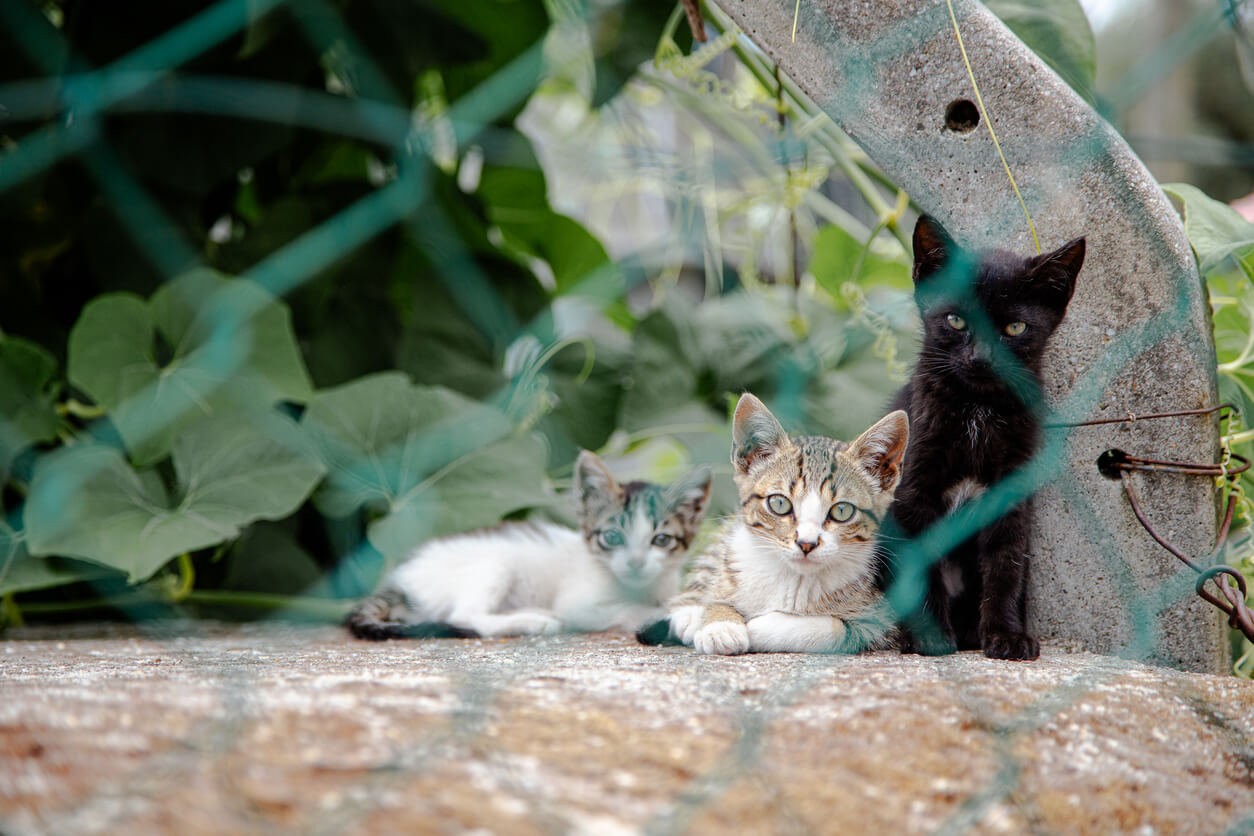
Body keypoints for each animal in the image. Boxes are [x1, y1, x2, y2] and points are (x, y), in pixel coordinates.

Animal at [348, 451, 712, 641]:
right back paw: (533, 621)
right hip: (495, 562)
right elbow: (629, 609)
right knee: (465, 615)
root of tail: (399, 578)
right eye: (612, 537)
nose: (635, 563)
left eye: (660, 539)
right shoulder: (578, 603)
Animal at [652, 396, 907, 656]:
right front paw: (721, 626)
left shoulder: (886, 622)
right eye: (780, 503)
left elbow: (835, 628)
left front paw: (755, 627)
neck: (792, 577)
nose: (806, 543)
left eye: (842, 510)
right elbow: (720, 594)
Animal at [887, 215, 1083, 661]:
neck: (977, 410)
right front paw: (931, 637)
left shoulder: (1012, 491)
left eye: (1015, 328)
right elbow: (923, 563)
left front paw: (1006, 635)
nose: (982, 358)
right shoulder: (914, 488)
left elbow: (1006, 564)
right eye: (956, 320)